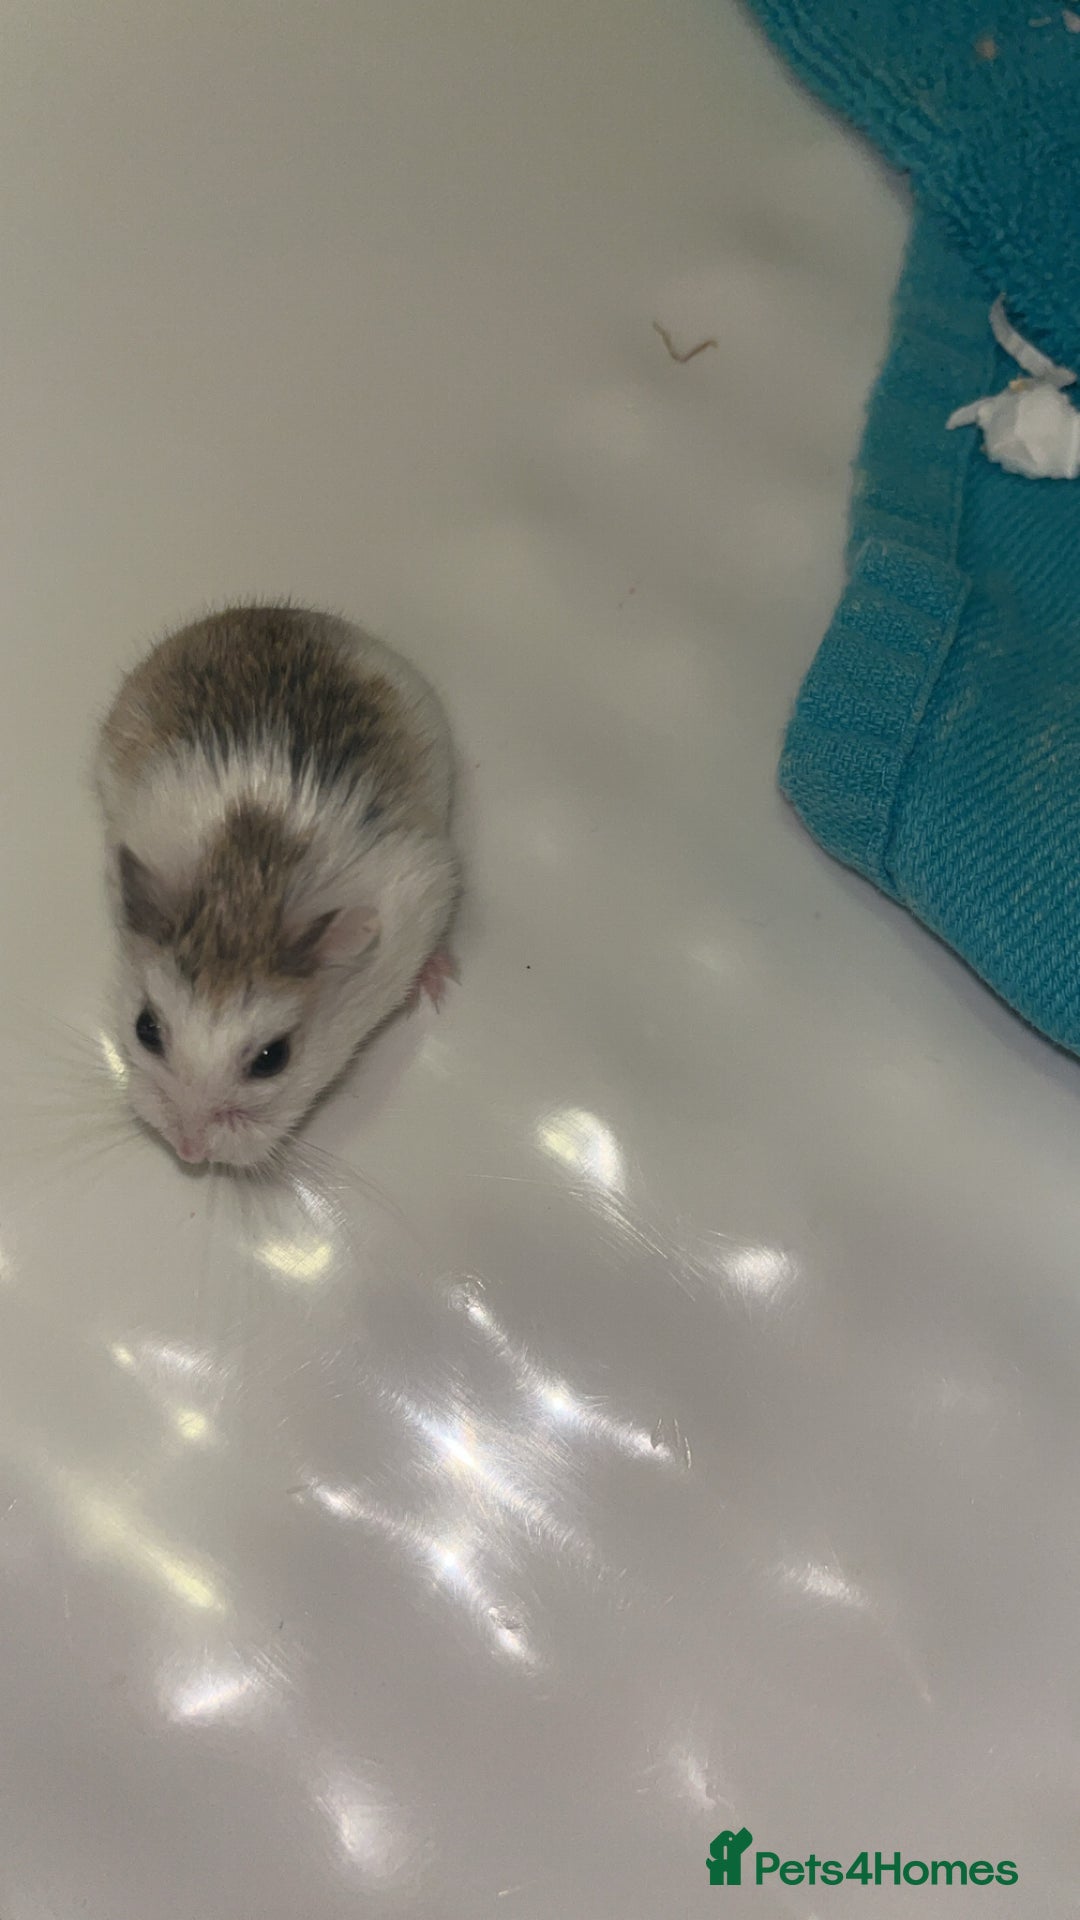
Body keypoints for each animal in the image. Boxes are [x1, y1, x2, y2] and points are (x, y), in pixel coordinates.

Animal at [95, 606, 459, 1168]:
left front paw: (440, 984)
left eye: (273, 1059)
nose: (189, 1152)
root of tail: (279, 612)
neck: (248, 893)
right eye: (145, 1028)